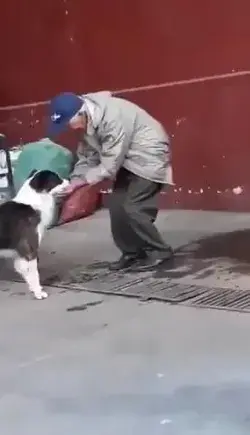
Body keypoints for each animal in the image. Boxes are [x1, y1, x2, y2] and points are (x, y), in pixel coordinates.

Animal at [0, 170, 69, 300]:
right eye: (57, 179)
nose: (69, 180)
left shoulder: (20, 254)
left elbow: (25, 272)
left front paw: (34, 289)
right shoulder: (30, 250)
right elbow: (34, 274)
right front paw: (38, 293)